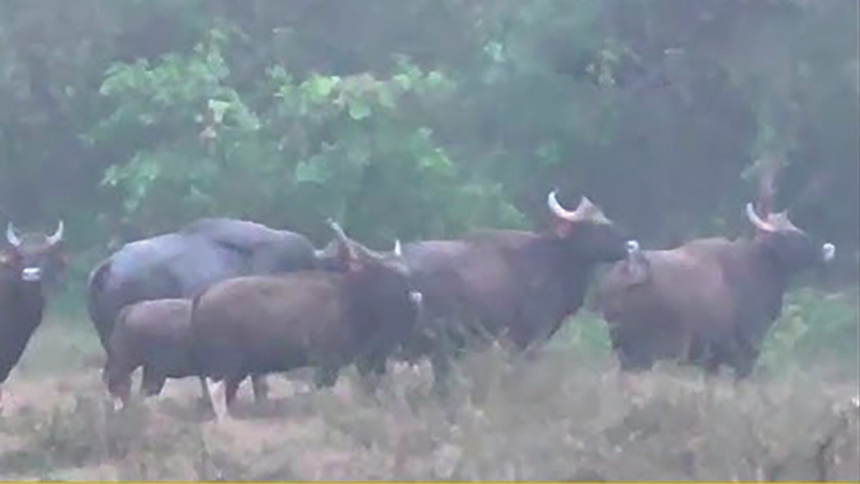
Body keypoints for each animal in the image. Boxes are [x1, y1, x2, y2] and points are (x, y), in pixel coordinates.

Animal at [190, 220, 422, 421]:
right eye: (387, 273)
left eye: (405, 274)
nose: (415, 298)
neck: (348, 296)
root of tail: (203, 296)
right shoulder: (328, 362)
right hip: (226, 365)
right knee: (217, 392)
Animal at [591, 202, 836, 378]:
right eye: (791, 236)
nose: (826, 250)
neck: (757, 267)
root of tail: (618, 277)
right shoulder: (745, 353)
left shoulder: (712, 363)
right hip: (640, 355)